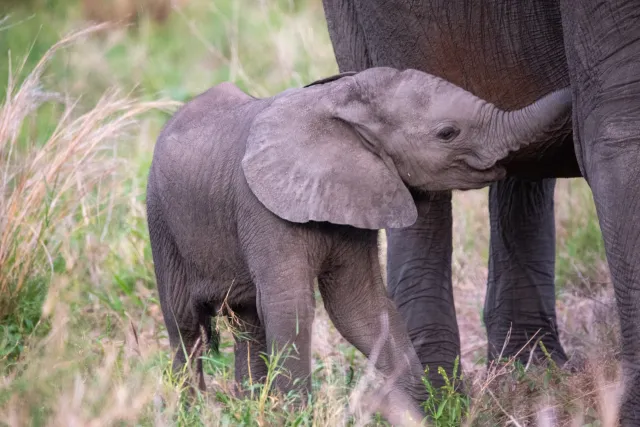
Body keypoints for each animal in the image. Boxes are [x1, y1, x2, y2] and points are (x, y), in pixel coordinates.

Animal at [146, 66, 571, 423]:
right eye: (448, 132)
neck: (340, 102)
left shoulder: (361, 197)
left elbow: (361, 307)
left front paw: (426, 408)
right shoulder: (263, 211)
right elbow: (291, 306)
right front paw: (297, 417)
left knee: (246, 323)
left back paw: (250, 407)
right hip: (161, 223)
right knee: (185, 328)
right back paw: (192, 410)